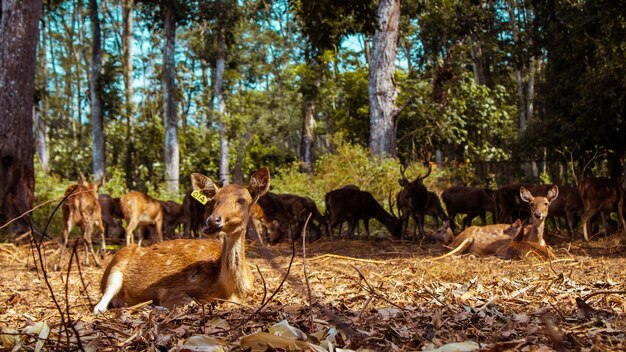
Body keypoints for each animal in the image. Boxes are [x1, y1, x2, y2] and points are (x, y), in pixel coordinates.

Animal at [92, 168, 268, 314]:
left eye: (242, 200)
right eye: (213, 200)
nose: (213, 220)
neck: (229, 290)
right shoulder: (172, 290)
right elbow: (191, 302)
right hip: (115, 267)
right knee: (99, 306)